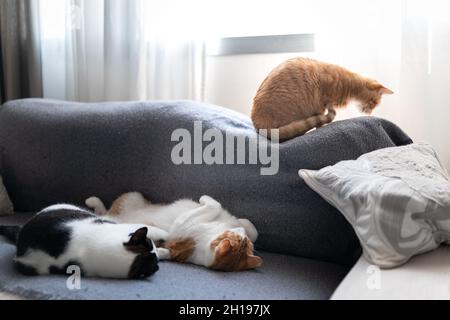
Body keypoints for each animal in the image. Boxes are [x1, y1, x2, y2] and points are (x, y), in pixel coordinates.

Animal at [0, 205, 166, 278]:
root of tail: (21, 232)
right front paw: (164, 249)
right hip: (31, 268)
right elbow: (156, 231)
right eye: (150, 245)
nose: (157, 251)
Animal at [85, 194, 262, 272]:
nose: (240, 230)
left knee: (103, 214)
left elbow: (214, 205)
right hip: (133, 197)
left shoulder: (182, 225)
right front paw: (243, 224)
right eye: (242, 238)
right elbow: (251, 226)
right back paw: (93, 201)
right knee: (105, 210)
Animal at [251, 58, 392, 141]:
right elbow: (320, 121)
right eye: (373, 103)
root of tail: (256, 124)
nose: (370, 113)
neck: (349, 84)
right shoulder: (320, 104)